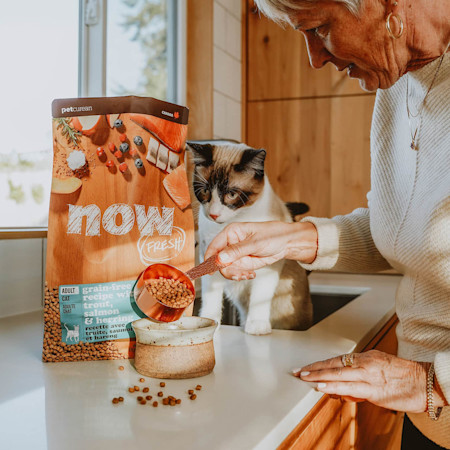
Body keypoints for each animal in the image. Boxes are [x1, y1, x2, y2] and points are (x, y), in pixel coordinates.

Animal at [188, 141, 312, 334]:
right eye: (205, 191)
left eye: (231, 194)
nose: (214, 215)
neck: (231, 222)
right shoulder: (207, 256)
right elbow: (211, 298)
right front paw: (210, 322)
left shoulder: (268, 266)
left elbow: (260, 297)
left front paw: (257, 327)